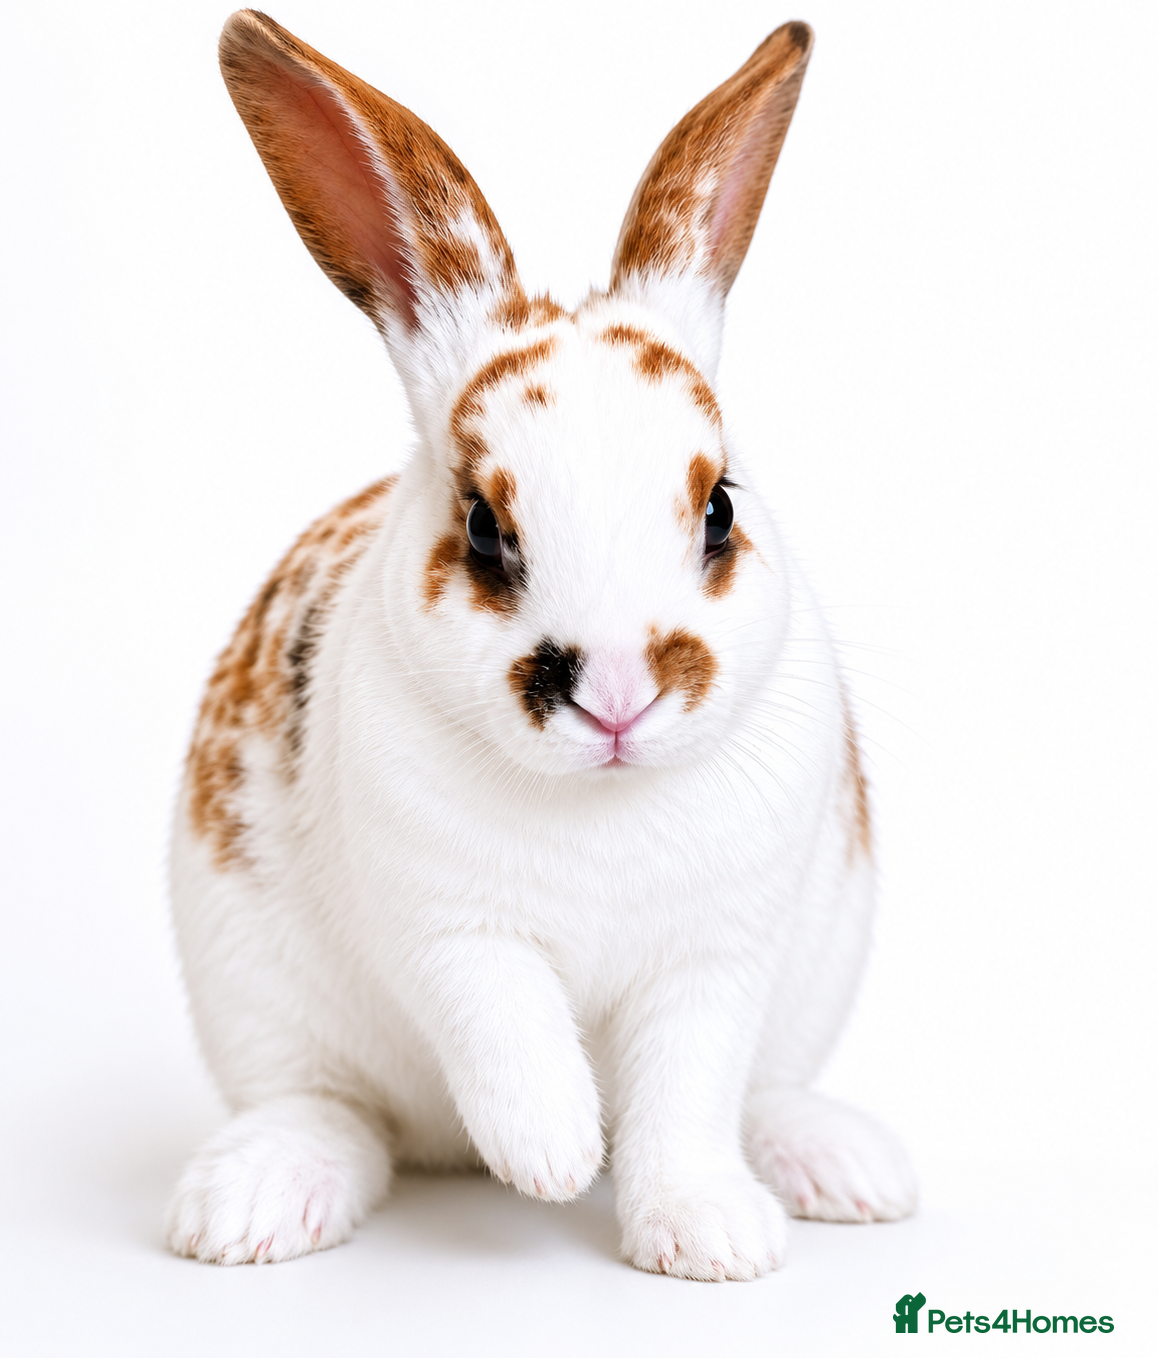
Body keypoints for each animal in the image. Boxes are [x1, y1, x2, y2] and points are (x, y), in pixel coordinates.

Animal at [165, 9, 917, 1280]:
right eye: (483, 525)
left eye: (720, 508)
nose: (616, 693)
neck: (598, 802)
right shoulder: (448, 926)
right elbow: (507, 1028)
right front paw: (556, 1155)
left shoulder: (716, 958)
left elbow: (684, 1095)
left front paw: (707, 1236)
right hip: (253, 992)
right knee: (331, 1110)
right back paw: (248, 1204)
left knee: (762, 1090)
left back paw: (848, 1168)